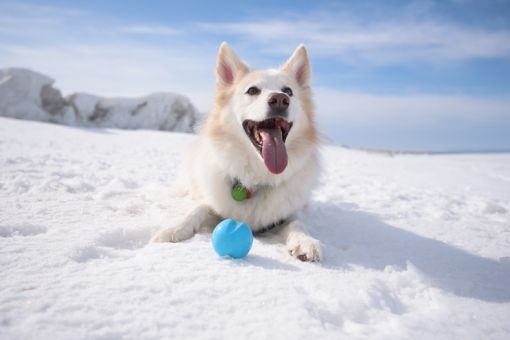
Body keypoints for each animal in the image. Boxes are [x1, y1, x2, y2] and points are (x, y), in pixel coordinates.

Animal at [150, 41, 322, 260]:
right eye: (252, 90)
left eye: (288, 91)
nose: (280, 99)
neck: (255, 179)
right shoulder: (215, 203)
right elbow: (198, 208)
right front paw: (173, 229)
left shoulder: (290, 212)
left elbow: (297, 222)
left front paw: (306, 242)